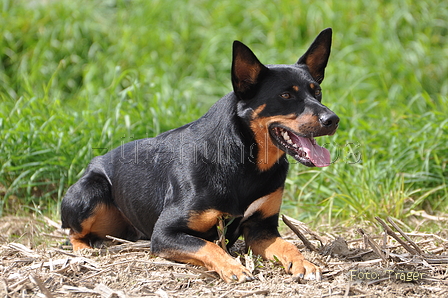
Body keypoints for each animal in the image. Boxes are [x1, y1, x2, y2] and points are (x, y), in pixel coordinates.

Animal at [61, 29, 338, 282]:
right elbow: (209, 245)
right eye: (285, 95)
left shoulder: (262, 229)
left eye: (317, 92)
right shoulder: (164, 233)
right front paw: (233, 267)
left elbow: (287, 245)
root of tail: (93, 164)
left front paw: (303, 263)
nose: (333, 119)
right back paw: (84, 251)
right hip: (89, 194)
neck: (246, 162)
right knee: (72, 232)